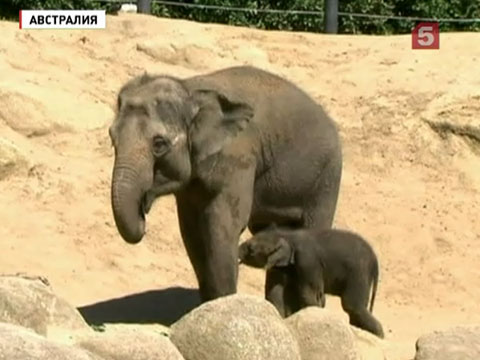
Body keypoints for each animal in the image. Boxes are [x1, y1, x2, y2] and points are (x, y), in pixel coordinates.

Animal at [109, 65, 342, 310]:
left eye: (159, 144)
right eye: (111, 138)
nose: (143, 209)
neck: (189, 89)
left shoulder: (238, 158)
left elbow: (222, 225)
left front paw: (224, 303)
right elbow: (192, 231)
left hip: (326, 179)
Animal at [238, 225, 384, 338]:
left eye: (251, 249)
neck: (288, 235)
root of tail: (375, 260)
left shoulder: (307, 260)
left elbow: (308, 293)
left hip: (358, 272)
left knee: (352, 305)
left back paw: (380, 335)